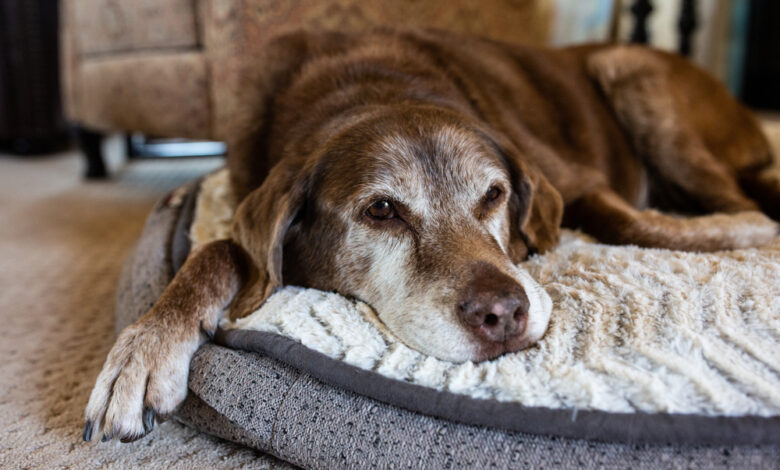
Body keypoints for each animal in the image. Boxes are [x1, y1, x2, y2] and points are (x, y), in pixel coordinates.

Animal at [82, 30, 776, 444]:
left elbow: (628, 221)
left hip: (632, 73)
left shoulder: (575, 180)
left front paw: (745, 235)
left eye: (494, 195)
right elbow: (221, 249)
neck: (370, 86)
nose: (503, 314)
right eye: (383, 210)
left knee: (735, 195)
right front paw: (145, 349)